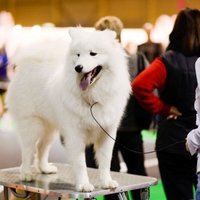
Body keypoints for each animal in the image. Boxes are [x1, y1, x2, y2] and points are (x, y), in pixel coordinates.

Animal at [5, 27, 130, 191]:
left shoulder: (107, 131)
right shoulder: (75, 134)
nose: (78, 68)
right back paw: (26, 174)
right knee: (27, 150)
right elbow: (81, 163)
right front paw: (84, 185)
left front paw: (106, 182)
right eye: (78, 54)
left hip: (50, 127)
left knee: (41, 147)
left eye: (93, 53)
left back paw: (45, 168)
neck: (93, 96)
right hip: (32, 124)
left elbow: (105, 161)